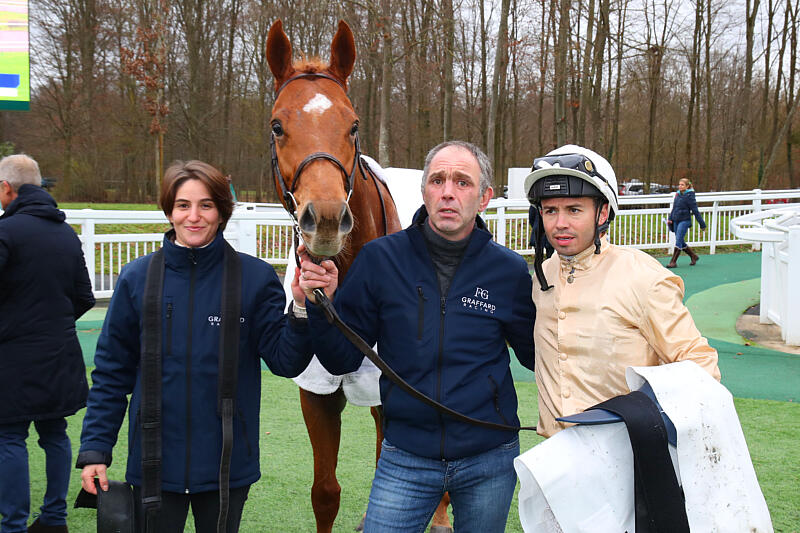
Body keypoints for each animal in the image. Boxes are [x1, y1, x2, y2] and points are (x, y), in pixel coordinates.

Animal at [268, 19, 454, 532]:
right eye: (277, 125)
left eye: (352, 125)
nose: (327, 220)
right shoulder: (315, 392)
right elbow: (325, 493)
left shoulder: (395, 394)